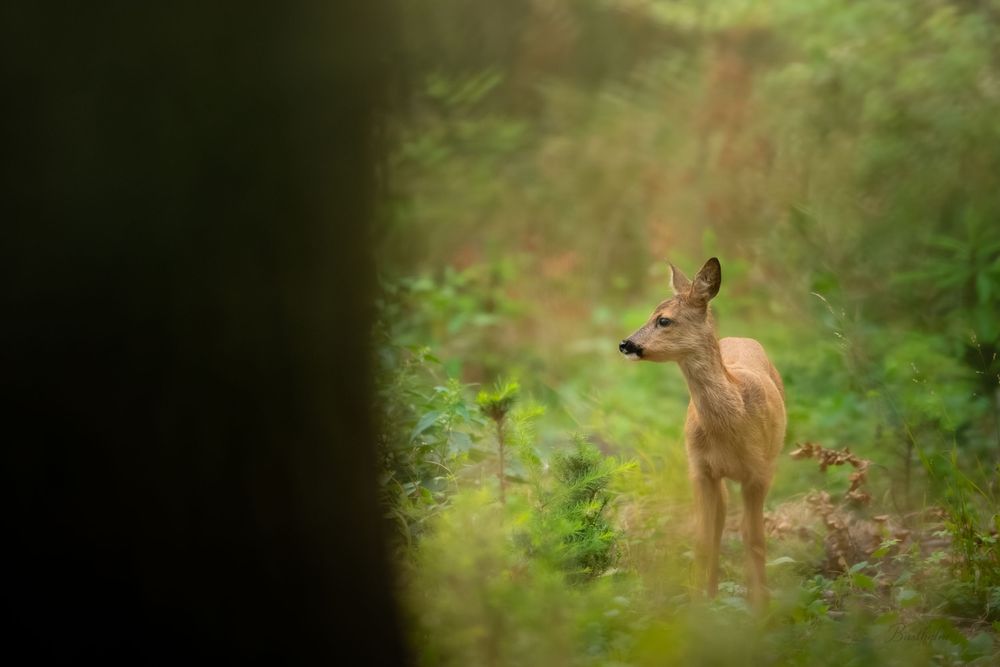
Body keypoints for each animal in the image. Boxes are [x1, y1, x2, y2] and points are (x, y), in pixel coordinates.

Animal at [618, 257, 786, 610]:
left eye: (664, 320)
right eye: (651, 313)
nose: (626, 344)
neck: (733, 422)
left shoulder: (760, 472)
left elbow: (755, 539)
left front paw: (760, 608)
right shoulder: (700, 469)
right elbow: (703, 540)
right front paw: (699, 607)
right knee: (719, 525)